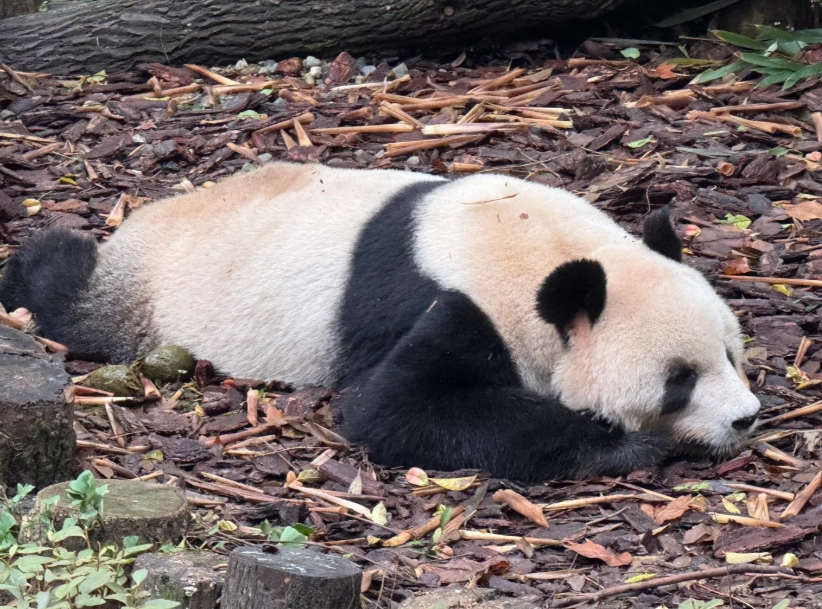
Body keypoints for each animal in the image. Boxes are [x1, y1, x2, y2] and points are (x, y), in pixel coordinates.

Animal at [0, 161, 761, 481]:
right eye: (678, 380)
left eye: (731, 354)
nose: (746, 418)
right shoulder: (451, 301)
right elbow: (397, 410)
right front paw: (624, 444)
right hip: (149, 294)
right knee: (71, 294)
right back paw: (41, 264)